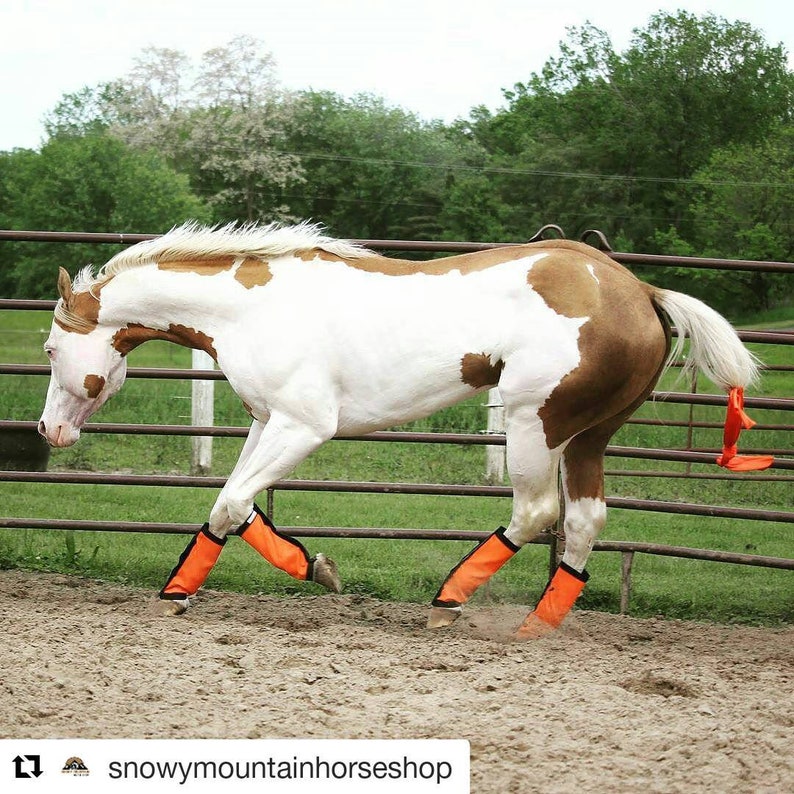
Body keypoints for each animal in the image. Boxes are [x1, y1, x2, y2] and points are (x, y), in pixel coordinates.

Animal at [38, 221, 767, 638]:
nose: (48, 430)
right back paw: (536, 625)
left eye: (48, 349)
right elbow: (232, 506)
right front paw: (192, 591)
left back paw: (448, 601)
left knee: (536, 512)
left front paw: (305, 574)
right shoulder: (267, 422)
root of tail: (640, 291)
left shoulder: (304, 426)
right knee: (584, 521)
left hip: (535, 422)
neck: (254, 309)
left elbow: (232, 501)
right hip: (588, 436)